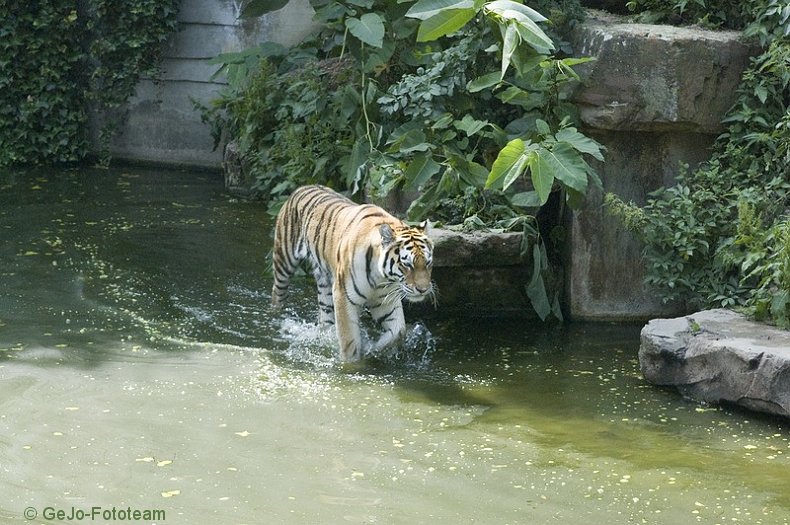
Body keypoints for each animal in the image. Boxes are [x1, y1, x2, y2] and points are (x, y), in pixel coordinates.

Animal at [270, 183, 434, 360]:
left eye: (428, 263)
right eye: (407, 264)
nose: (423, 289)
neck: (381, 278)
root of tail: (304, 186)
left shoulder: (385, 300)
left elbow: (398, 331)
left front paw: (374, 349)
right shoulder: (343, 296)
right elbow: (349, 342)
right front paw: (352, 362)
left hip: (325, 283)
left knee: (326, 317)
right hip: (284, 260)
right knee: (277, 292)